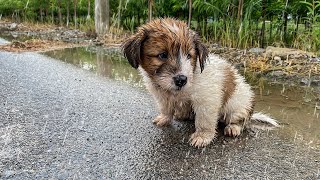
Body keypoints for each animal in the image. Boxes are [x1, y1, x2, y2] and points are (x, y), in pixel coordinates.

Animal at [121, 18, 278, 148]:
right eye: (163, 55)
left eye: (189, 55)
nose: (181, 79)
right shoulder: (163, 97)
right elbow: (166, 108)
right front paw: (165, 118)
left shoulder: (206, 100)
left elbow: (204, 120)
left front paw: (202, 136)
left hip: (237, 106)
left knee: (241, 121)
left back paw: (234, 127)